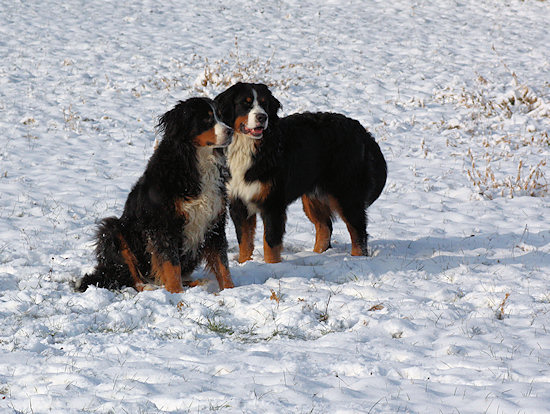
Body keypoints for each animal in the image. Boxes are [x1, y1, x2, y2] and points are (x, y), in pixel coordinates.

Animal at [76, 97, 235, 293]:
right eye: (206, 119)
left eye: (219, 115)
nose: (231, 131)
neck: (197, 162)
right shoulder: (162, 223)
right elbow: (171, 264)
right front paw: (175, 293)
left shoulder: (214, 221)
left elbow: (222, 263)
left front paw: (231, 289)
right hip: (114, 231)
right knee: (130, 276)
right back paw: (149, 288)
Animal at [214, 82, 387, 263]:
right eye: (245, 103)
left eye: (264, 104)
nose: (262, 117)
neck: (247, 147)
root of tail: (361, 130)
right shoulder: (238, 202)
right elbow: (244, 242)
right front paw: (244, 263)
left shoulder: (273, 204)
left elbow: (270, 243)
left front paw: (271, 265)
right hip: (313, 197)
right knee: (325, 227)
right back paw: (317, 255)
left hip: (346, 193)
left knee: (358, 230)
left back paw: (357, 258)